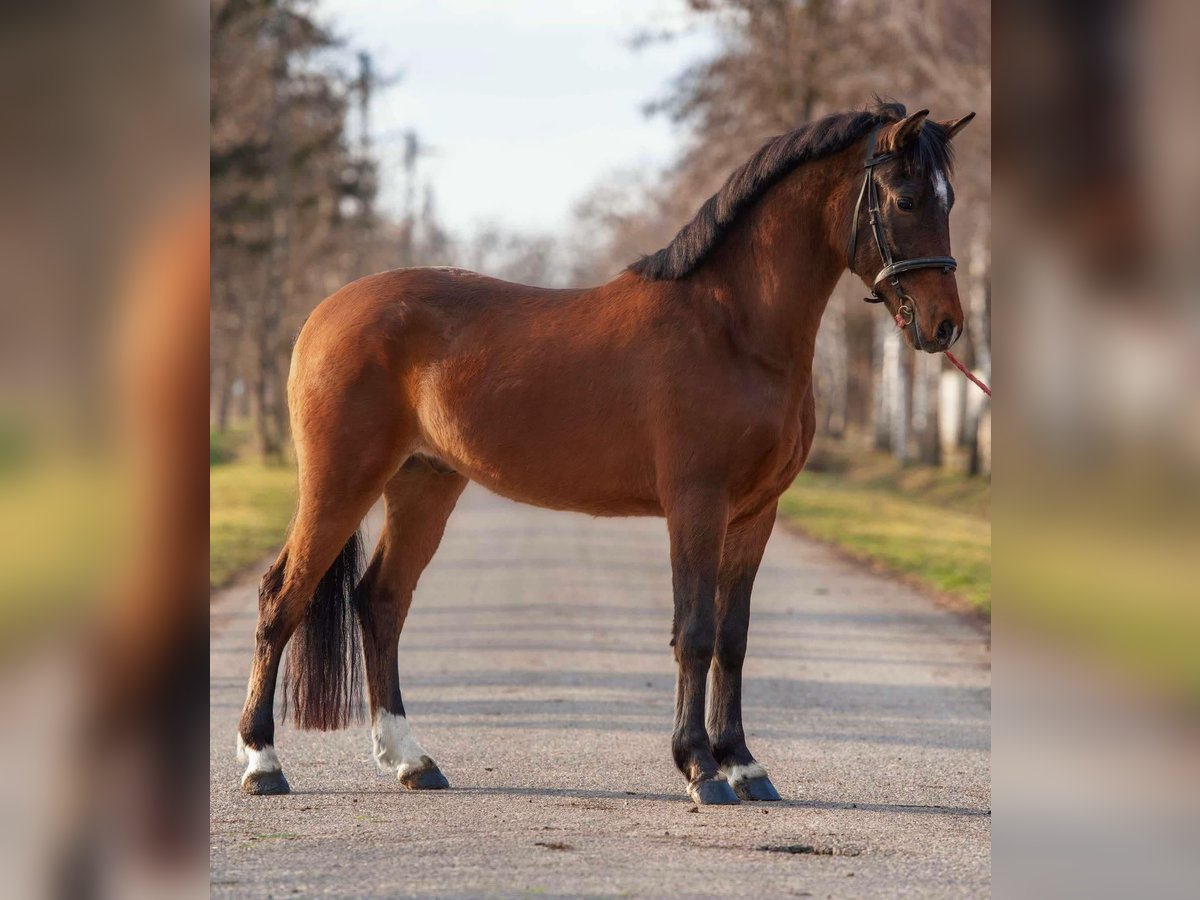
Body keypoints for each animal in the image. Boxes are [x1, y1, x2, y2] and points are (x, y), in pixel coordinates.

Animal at [234, 102, 974, 806]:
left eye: (951, 200)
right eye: (907, 199)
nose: (945, 327)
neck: (731, 330)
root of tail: (325, 313)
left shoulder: (756, 513)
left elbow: (733, 638)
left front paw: (745, 766)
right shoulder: (697, 505)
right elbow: (695, 631)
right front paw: (700, 768)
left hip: (424, 482)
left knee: (382, 601)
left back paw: (413, 761)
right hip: (340, 481)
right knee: (282, 598)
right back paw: (262, 763)